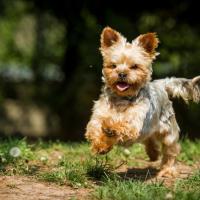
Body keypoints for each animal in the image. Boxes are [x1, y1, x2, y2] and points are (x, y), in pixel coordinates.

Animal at [85, 26, 200, 177]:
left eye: (134, 66)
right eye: (113, 66)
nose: (122, 74)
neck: (122, 98)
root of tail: (161, 83)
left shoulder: (135, 123)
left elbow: (122, 125)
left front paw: (111, 127)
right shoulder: (98, 116)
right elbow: (95, 129)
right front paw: (101, 146)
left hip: (169, 131)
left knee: (170, 151)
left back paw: (167, 170)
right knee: (149, 138)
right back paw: (153, 153)